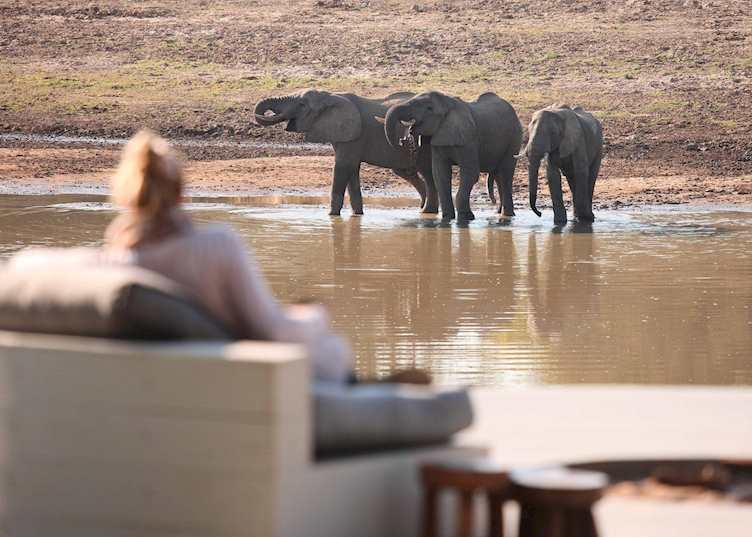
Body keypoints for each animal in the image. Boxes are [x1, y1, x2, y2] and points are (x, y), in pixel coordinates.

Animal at [254, 90, 436, 216]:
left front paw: (331, 216)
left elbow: (342, 168)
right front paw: (357, 215)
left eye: (301, 105)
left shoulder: (353, 137)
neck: (330, 95)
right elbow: (352, 171)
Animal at [383, 91, 522, 221]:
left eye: (429, 108)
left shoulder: (469, 139)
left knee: (506, 173)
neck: (449, 104)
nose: (401, 141)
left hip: (514, 139)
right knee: (498, 175)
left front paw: (466, 218)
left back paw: (507, 215)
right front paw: (447, 218)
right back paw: (500, 214)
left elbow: (470, 173)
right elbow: (440, 174)